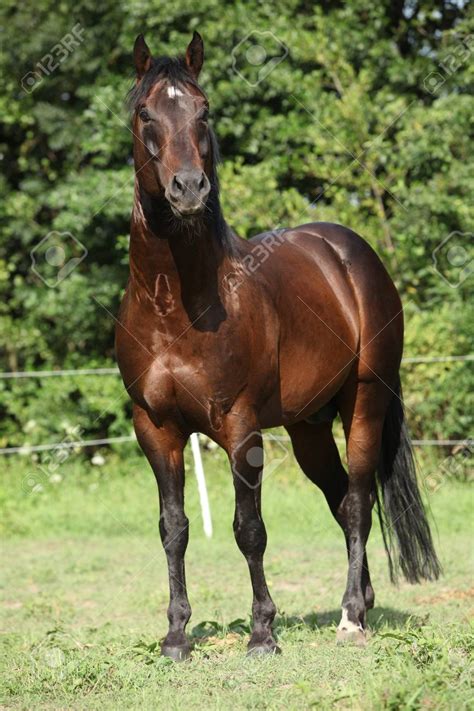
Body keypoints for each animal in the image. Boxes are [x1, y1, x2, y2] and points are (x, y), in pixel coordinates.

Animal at [115, 29, 440, 660]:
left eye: (203, 109)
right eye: (145, 113)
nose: (188, 188)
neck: (173, 304)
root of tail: (349, 252)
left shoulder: (241, 427)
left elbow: (249, 529)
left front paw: (263, 632)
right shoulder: (154, 427)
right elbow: (174, 529)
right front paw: (176, 635)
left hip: (364, 402)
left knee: (357, 501)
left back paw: (351, 618)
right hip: (308, 424)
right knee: (339, 498)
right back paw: (362, 601)